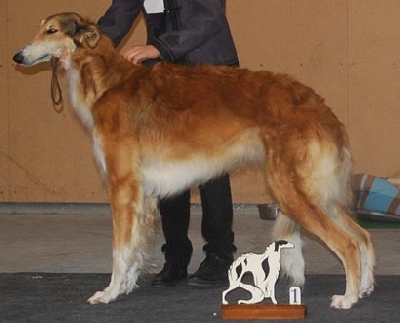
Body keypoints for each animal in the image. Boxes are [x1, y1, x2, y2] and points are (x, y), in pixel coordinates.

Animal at [12, 12, 376, 310]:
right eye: (40, 28)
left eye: (51, 30)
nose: (18, 56)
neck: (107, 83)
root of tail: (318, 105)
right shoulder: (142, 194)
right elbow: (133, 248)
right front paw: (125, 287)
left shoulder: (122, 185)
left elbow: (119, 248)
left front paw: (109, 293)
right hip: (314, 191)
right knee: (363, 236)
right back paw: (366, 287)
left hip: (291, 192)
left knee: (347, 243)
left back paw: (348, 298)